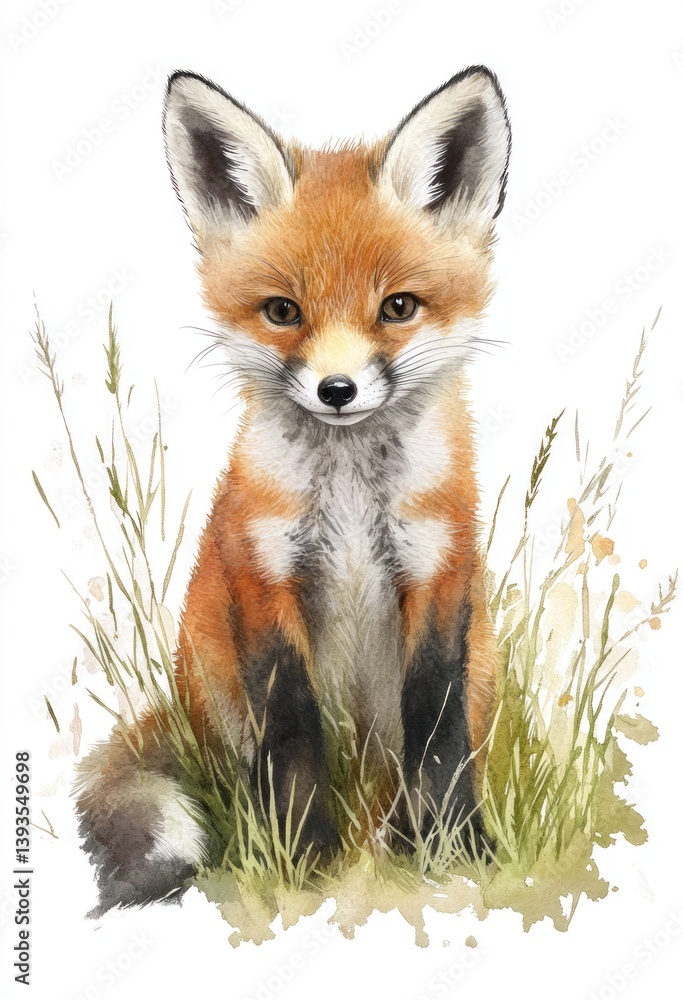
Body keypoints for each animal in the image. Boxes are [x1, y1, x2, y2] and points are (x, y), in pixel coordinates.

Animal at [74, 65, 511, 915]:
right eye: (283, 311)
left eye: (397, 307)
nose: (336, 390)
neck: (351, 506)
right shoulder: (264, 579)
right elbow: (293, 737)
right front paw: (303, 864)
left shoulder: (438, 577)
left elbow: (437, 735)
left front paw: (457, 854)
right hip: (211, 681)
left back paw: (397, 841)